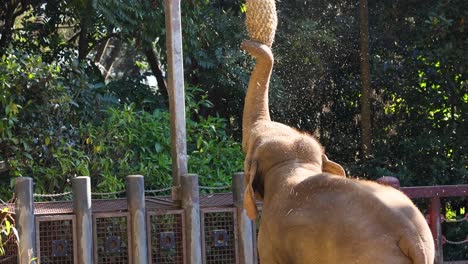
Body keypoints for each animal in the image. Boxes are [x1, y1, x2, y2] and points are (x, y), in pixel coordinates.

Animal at [241, 39, 436, 264]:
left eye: (250, 144)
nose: (247, 44)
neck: (294, 164)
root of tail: (413, 240)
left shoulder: (270, 238)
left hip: (373, 255)